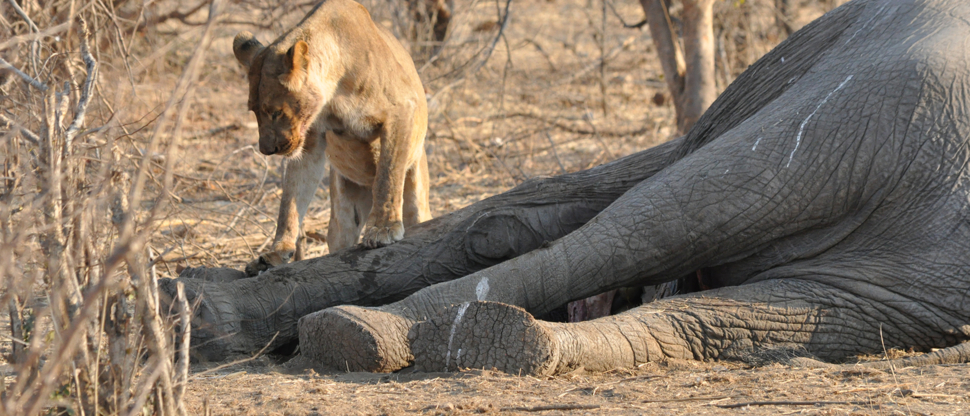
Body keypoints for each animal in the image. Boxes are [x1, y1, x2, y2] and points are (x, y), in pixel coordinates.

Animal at [232, 0, 433, 276]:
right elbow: (290, 202)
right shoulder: (309, 142)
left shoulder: (401, 109)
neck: (334, 93)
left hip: (417, 193)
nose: (266, 150)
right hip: (342, 216)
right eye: (253, 111)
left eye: (276, 112)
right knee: (341, 240)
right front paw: (275, 253)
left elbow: (388, 175)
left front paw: (383, 228)